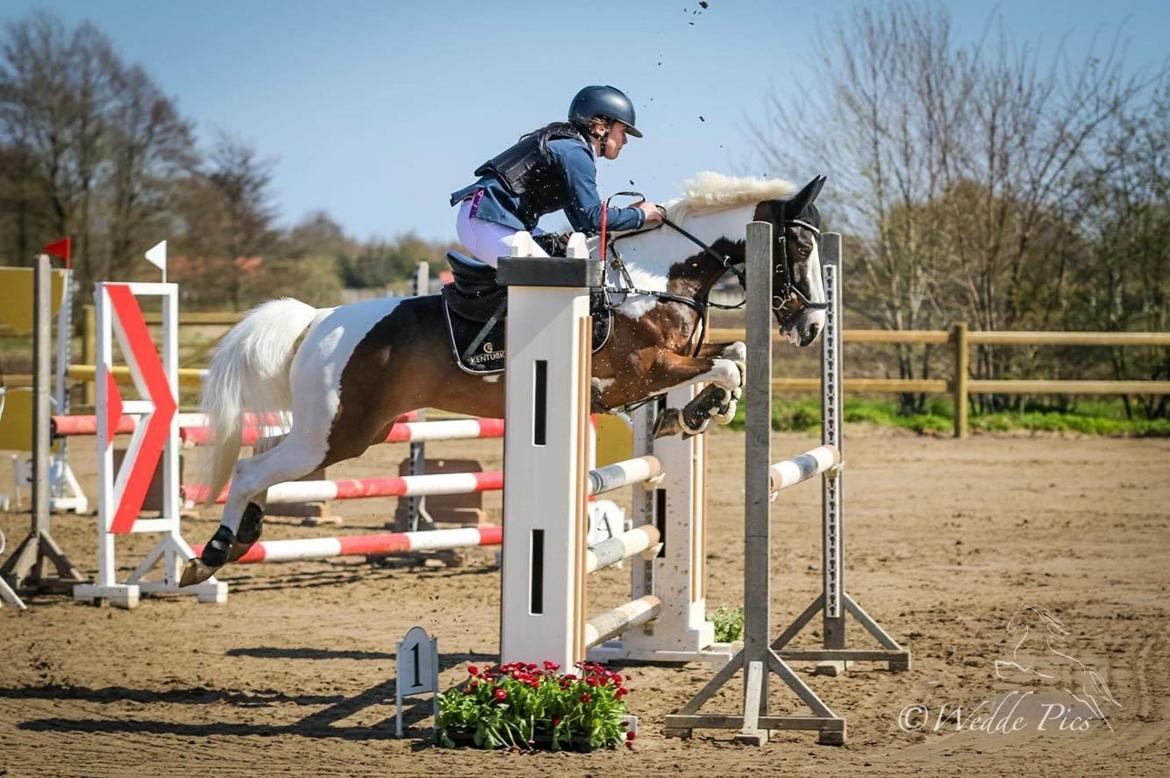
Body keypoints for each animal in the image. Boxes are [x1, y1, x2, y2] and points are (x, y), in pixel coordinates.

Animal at [180, 173, 829, 587]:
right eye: (798, 246)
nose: (814, 326)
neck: (651, 279)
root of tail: (318, 319)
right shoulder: (636, 373)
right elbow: (729, 362)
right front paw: (697, 411)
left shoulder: (671, 360)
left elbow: (735, 354)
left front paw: (693, 413)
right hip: (336, 435)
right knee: (252, 470)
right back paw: (209, 556)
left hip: (348, 432)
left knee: (265, 467)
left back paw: (241, 539)